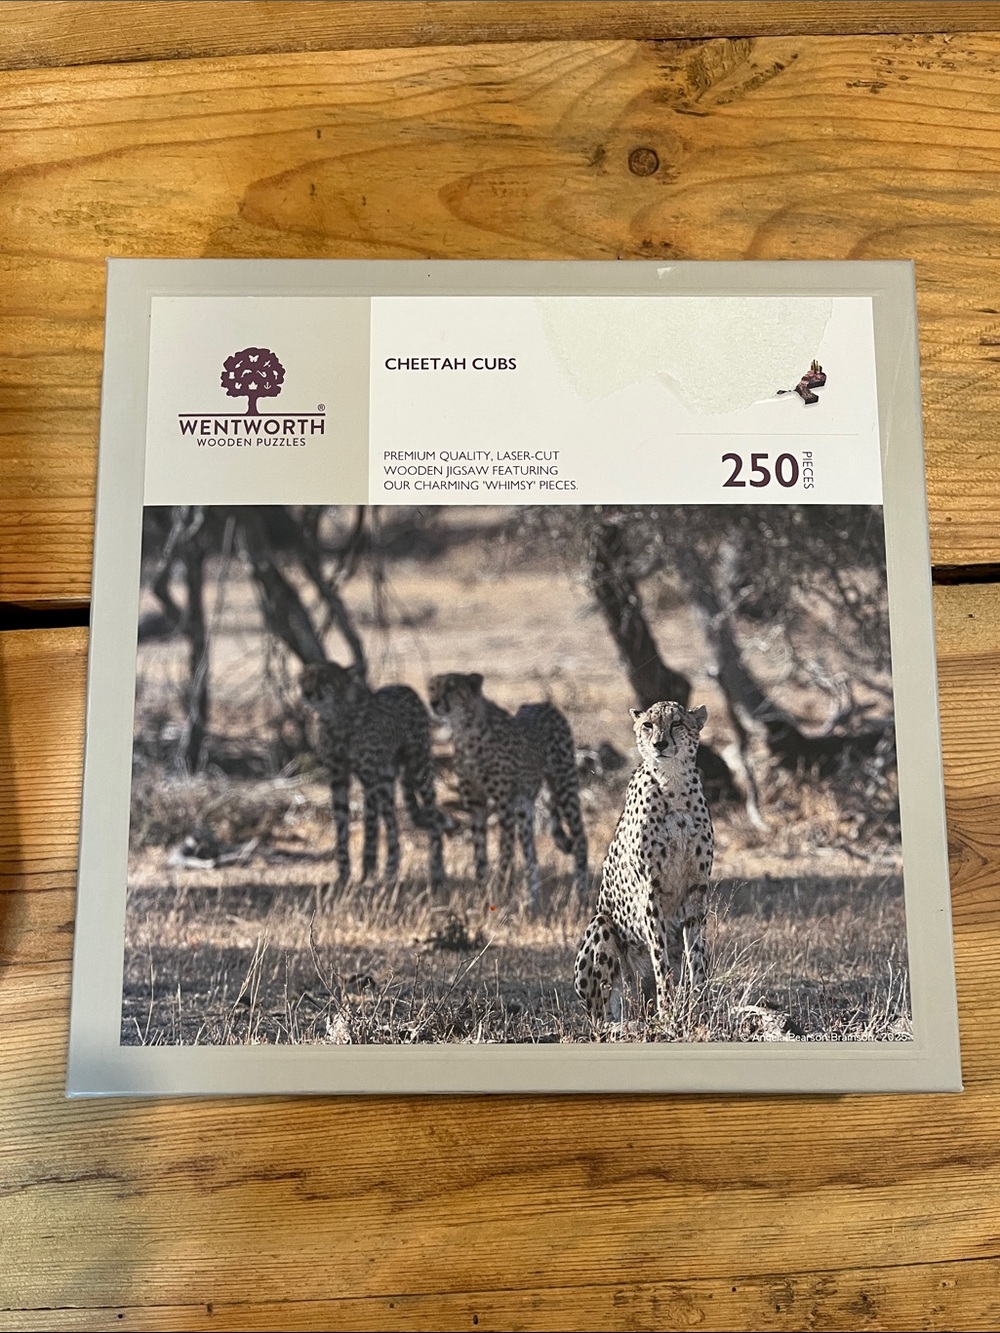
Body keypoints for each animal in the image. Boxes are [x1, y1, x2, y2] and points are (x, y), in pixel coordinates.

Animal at [300, 661, 444, 890]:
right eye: (304, 678)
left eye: (323, 678)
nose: (306, 693)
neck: (336, 715)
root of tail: (405, 687)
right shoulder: (339, 777)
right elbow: (342, 825)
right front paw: (344, 876)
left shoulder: (368, 777)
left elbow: (370, 826)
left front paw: (367, 873)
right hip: (386, 780)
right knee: (392, 821)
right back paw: (391, 868)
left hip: (418, 767)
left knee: (432, 817)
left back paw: (436, 872)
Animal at [427, 672, 589, 904]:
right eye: (432, 688)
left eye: (451, 688)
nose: (434, 702)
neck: (465, 730)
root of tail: (542, 703)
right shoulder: (477, 806)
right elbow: (480, 856)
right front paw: (482, 895)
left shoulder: (504, 805)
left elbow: (505, 853)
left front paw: (501, 894)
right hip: (524, 806)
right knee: (532, 854)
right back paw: (533, 901)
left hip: (565, 786)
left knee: (580, 839)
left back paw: (581, 894)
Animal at [574, 700, 714, 1025]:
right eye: (648, 725)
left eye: (677, 723)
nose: (659, 744)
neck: (673, 783)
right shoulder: (650, 891)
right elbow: (660, 959)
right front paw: (668, 1010)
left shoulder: (697, 890)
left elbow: (696, 956)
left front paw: (699, 1008)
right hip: (601, 924)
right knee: (604, 1015)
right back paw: (624, 1023)